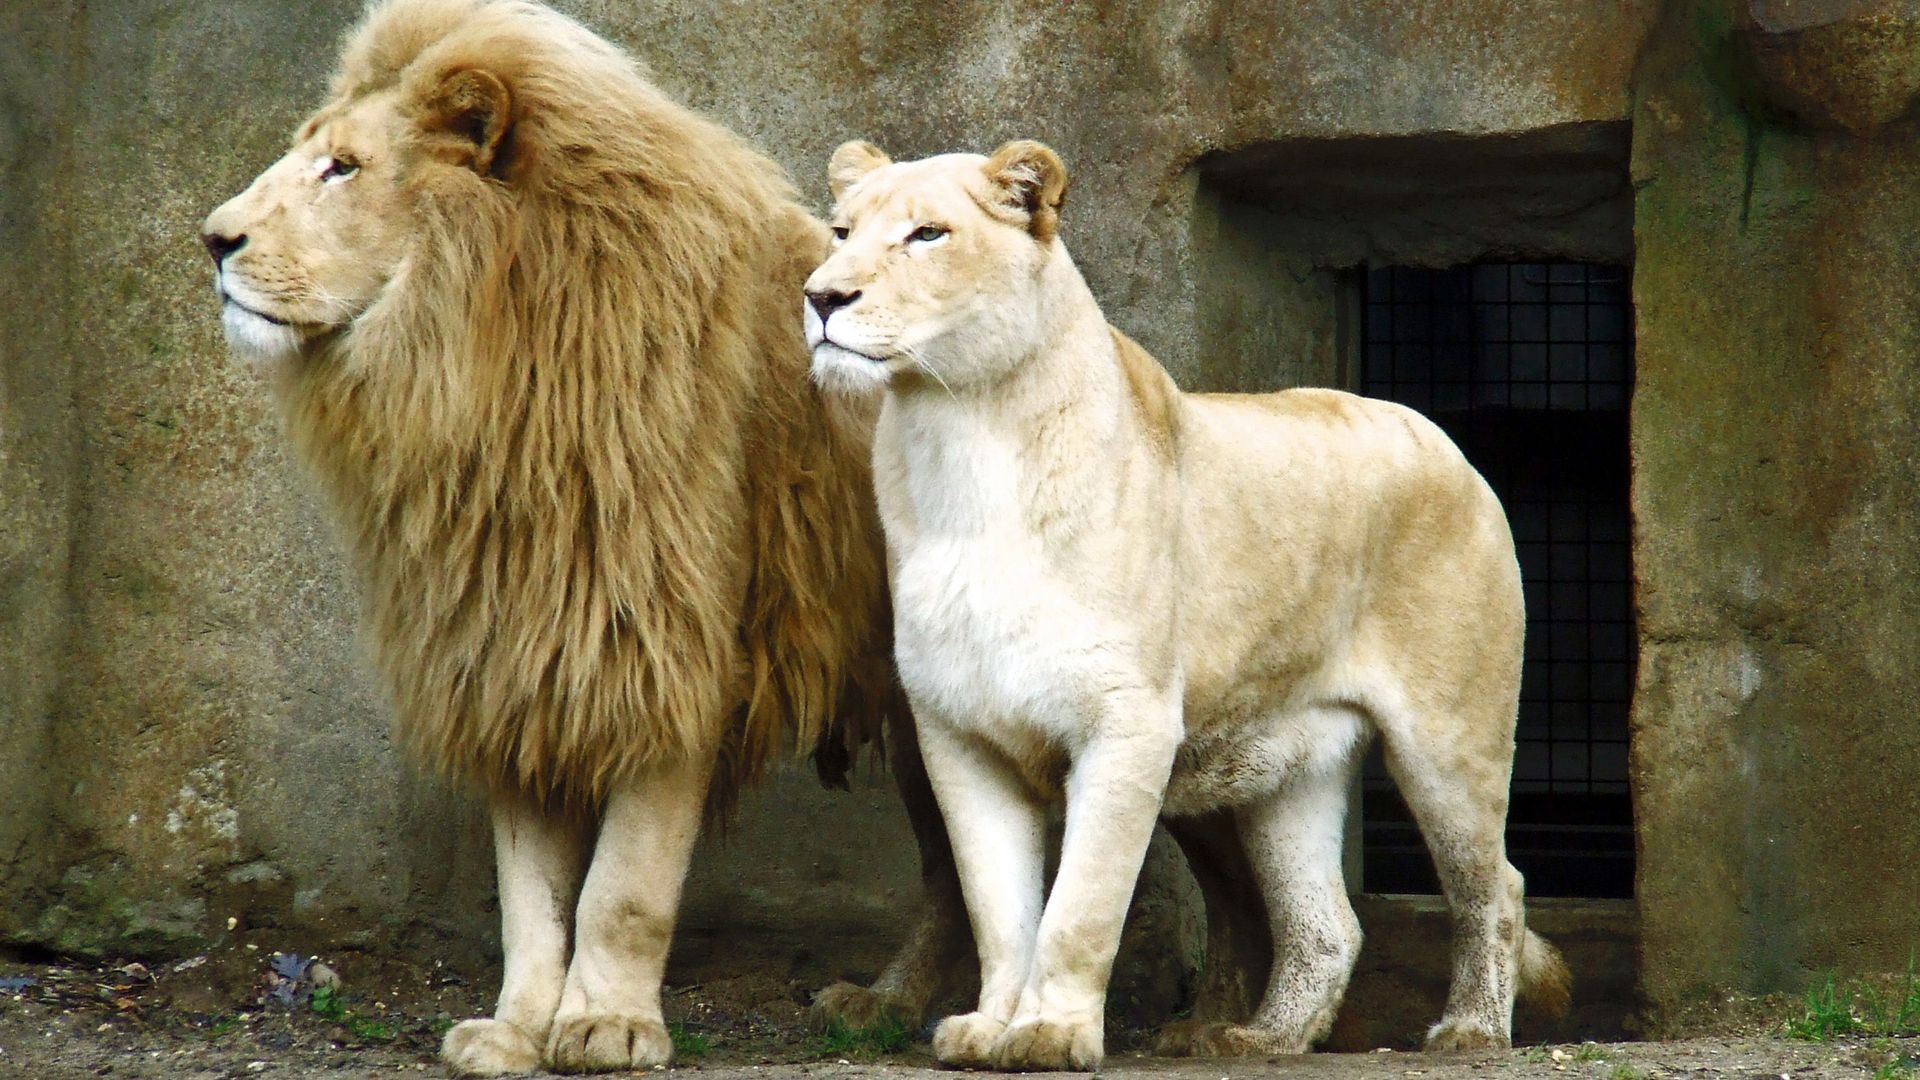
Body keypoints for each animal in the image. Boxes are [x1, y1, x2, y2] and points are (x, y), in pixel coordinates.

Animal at [197, 1, 972, 1072]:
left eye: (343, 168)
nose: (211, 240)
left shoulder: (672, 649)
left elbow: (623, 888)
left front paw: (607, 1023)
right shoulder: (517, 653)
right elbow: (534, 897)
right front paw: (517, 1029)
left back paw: (900, 1006)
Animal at [804, 140, 1572, 1071]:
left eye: (927, 234)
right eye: (841, 232)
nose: (822, 297)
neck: (959, 437)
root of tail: (1443, 440)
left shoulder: (1126, 722)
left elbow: (1080, 906)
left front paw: (1052, 1033)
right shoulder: (960, 734)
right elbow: (998, 907)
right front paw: (989, 1027)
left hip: (1449, 740)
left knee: (1496, 884)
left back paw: (1470, 1029)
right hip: (1290, 764)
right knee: (1326, 923)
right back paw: (1261, 1037)